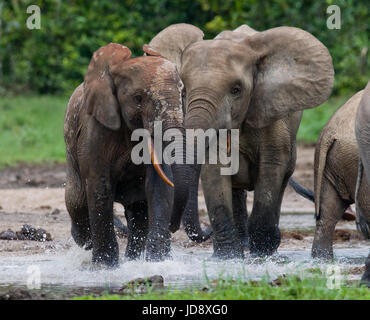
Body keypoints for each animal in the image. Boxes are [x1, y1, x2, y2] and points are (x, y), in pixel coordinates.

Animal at [64, 43, 194, 268]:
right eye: (138, 98)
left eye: (183, 93)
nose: (173, 227)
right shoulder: (95, 129)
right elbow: (100, 186)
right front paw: (105, 267)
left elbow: (159, 184)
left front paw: (157, 262)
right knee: (77, 204)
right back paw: (86, 246)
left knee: (138, 211)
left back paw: (133, 259)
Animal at [146, 23, 334, 258]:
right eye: (183, 90)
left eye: (236, 90)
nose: (172, 227)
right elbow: (215, 171)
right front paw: (227, 258)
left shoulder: (270, 110)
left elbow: (271, 169)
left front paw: (262, 254)